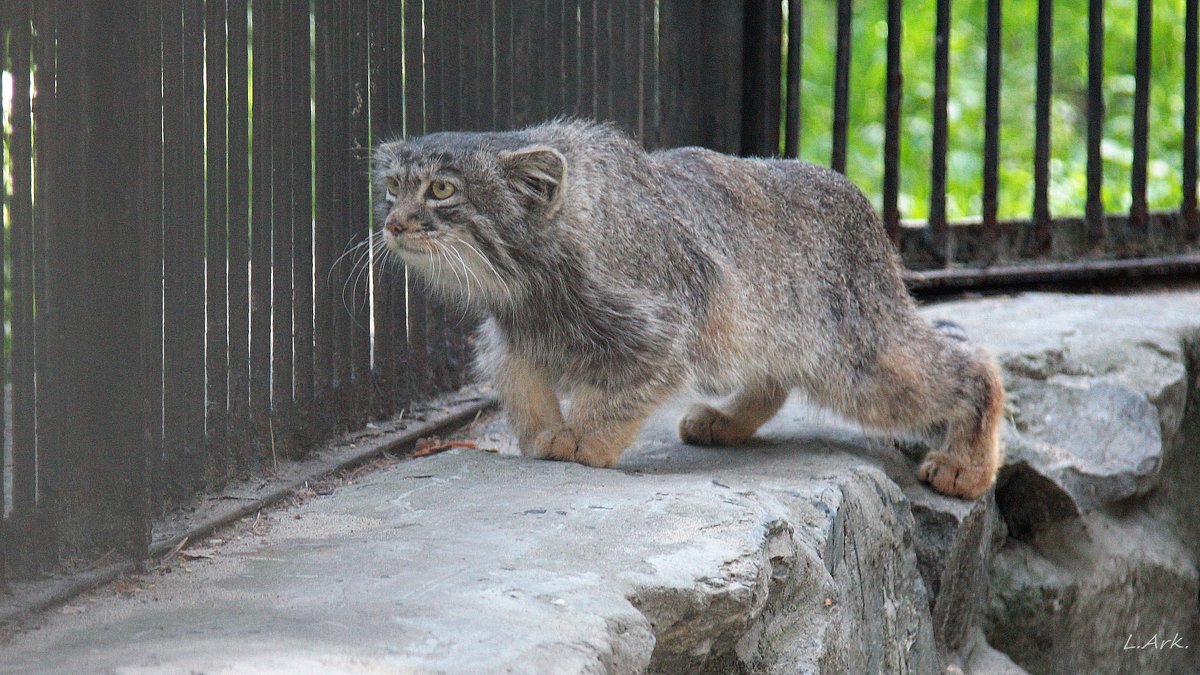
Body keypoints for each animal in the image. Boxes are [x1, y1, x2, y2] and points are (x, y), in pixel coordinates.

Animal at [372, 119, 1003, 499]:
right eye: (393, 188)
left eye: (442, 191)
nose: (393, 223)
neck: (531, 282)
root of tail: (862, 206)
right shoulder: (512, 335)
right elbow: (523, 385)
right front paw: (544, 430)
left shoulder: (664, 330)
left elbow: (616, 394)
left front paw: (585, 440)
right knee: (772, 379)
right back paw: (727, 421)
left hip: (857, 360)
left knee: (969, 360)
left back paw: (968, 464)